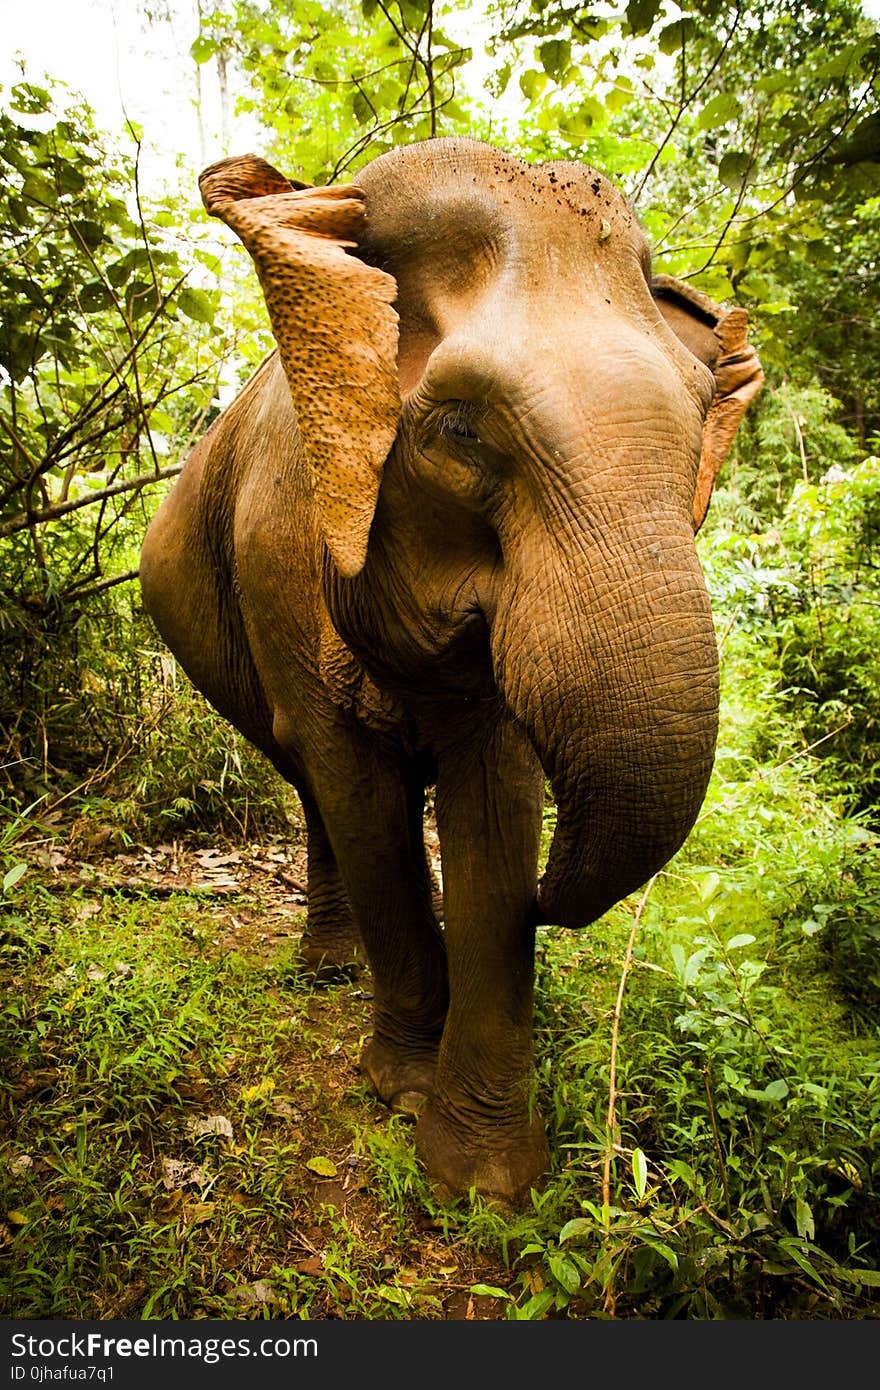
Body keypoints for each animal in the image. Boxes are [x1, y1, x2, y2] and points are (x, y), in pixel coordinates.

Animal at [139, 141, 761, 1206]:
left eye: (699, 419)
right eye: (462, 431)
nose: (556, 899)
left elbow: (495, 803)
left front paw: (481, 1184)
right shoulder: (277, 545)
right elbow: (359, 790)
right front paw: (400, 1087)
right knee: (312, 779)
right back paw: (332, 970)